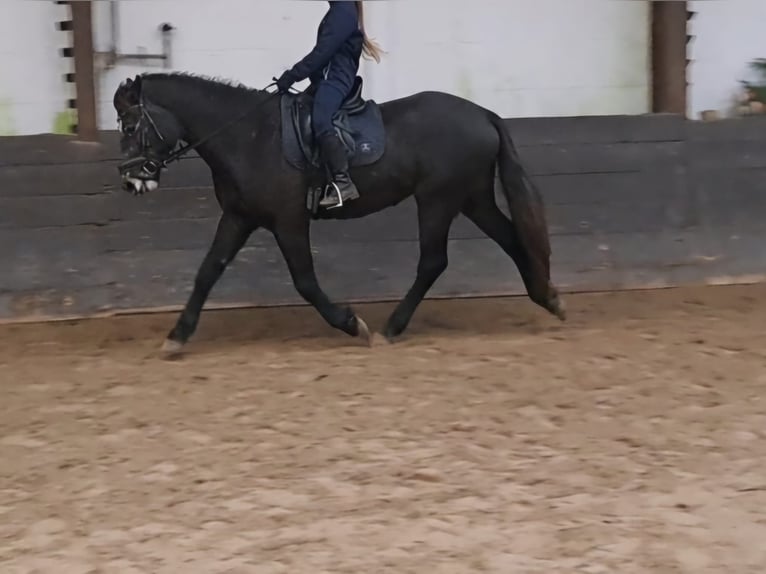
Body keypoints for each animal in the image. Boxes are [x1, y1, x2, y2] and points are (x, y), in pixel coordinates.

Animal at [113, 72, 566, 353]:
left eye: (131, 125)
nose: (131, 181)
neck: (249, 136)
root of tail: (482, 114)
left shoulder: (288, 220)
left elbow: (305, 282)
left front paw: (351, 324)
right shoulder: (240, 217)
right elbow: (208, 271)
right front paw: (176, 336)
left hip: (437, 200)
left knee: (433, 261)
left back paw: (390, 329)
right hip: (471, 198)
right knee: (511, 239)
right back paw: (547, 298)